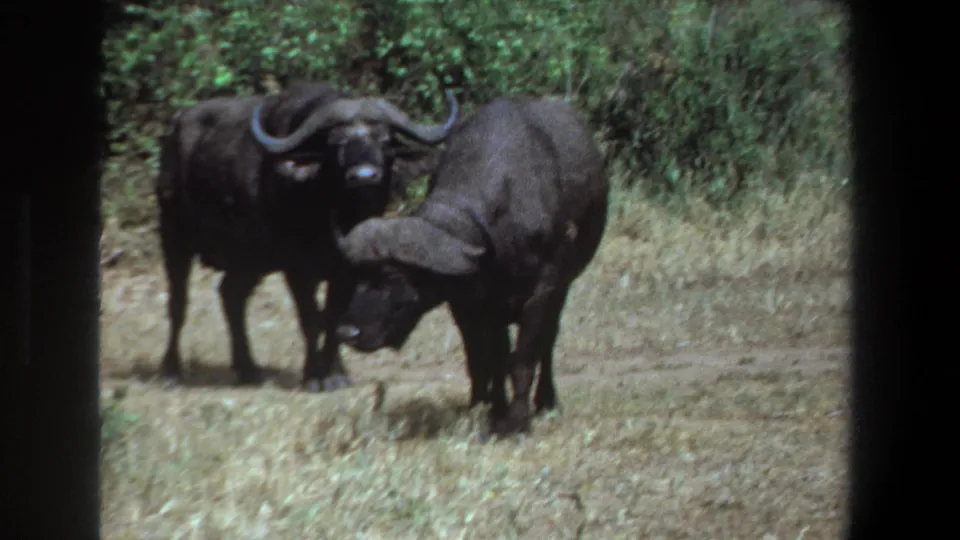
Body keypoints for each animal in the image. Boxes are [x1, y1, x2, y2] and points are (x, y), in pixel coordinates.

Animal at [154, 81, 459, 391]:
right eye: (335, 143)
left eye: (384, 140)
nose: (364, 176)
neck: (334, 216)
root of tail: (176, 128)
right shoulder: (297, 268)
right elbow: (311, 318)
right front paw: (314, 375)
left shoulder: (347, 269)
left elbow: (334, 317)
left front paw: (336, 373)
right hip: (173, 235)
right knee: (178, 302)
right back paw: (170, 369)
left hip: (250, 259)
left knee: (231, 295)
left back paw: (248, 369)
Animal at [330, 96, 610, 435]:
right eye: (356, 275)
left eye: (391, 277)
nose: (347, 331)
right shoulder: (467, 303)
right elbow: (484, 360)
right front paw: (488, 409)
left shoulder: (542, 292)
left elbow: (523, 359)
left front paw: (517, 421)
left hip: (562, 288)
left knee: (548, 341)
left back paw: (546, 401)